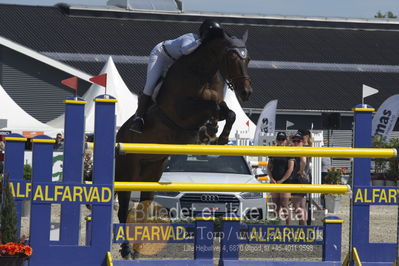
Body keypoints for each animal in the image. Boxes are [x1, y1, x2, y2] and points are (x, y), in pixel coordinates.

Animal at [115, 30, 253, 258]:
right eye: (232, 59)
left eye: (248, 59)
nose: (246, 93)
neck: (202, 72)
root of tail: (119, 135)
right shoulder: (182, 110)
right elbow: (213, 107)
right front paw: (213, 131)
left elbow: (228, 112)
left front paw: (218, 136)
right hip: (129, 169)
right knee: (124, 208)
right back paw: (126, 248)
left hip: (153, 170)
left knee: (144, 207)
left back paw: (137, 248)